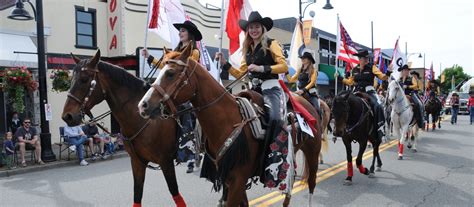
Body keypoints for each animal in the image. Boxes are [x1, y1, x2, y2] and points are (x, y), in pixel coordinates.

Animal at [59, 50, 185, 207]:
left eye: (84, 79)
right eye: (71, 79)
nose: (67, 116)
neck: (144, 120)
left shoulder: (166, 162)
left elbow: (175, 193)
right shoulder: (137, 162)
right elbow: (137, 194)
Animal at [137, 42, 322, 206]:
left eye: (170, 73)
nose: (143, 105)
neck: (228, 121)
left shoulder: (237, 181)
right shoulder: (229, 179)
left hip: (313, 151)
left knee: (312, 183)